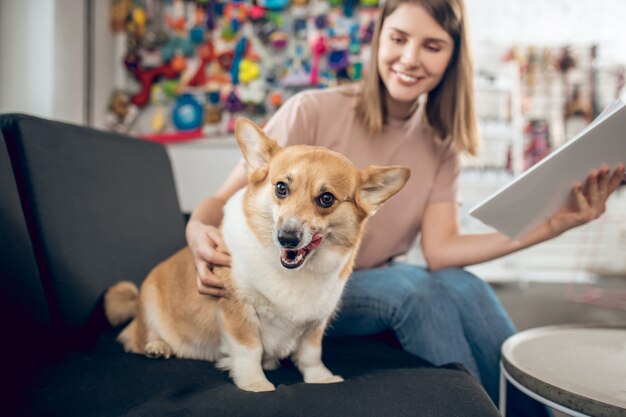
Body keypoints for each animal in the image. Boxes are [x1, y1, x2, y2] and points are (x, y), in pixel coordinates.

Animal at [104, 117, 410, 390]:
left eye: (326, 198)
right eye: (281, 188)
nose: (287, 238)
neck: (295, 274)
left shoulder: (316, 322)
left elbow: (311, 354)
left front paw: (320, 379)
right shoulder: (238, 310)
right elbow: (249, 351)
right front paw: (255, 384)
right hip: (148, 307)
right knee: (134, 337)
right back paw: (157, 346)